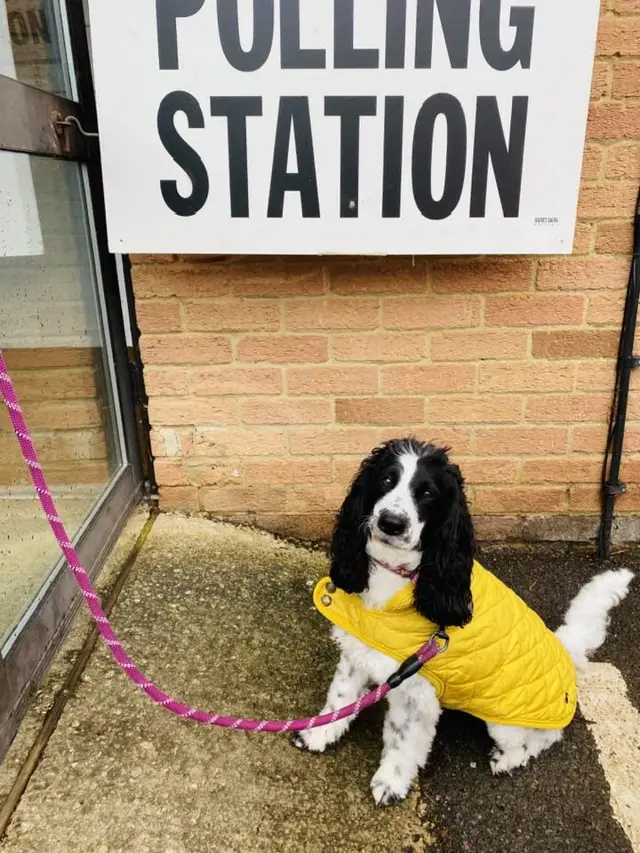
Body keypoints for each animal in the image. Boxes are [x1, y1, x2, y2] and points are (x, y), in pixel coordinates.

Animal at [294, 440, 632, 804]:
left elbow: (401, 742)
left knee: (544, 738)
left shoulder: (415, 692)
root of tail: (565, 650)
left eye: (428, 493)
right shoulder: (359, 650)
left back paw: (507, 759)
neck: (398, 577)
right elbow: (340, 698)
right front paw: (318, 734)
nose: (391, 523)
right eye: (385, 480)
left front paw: (391, 783)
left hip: (505, 720)